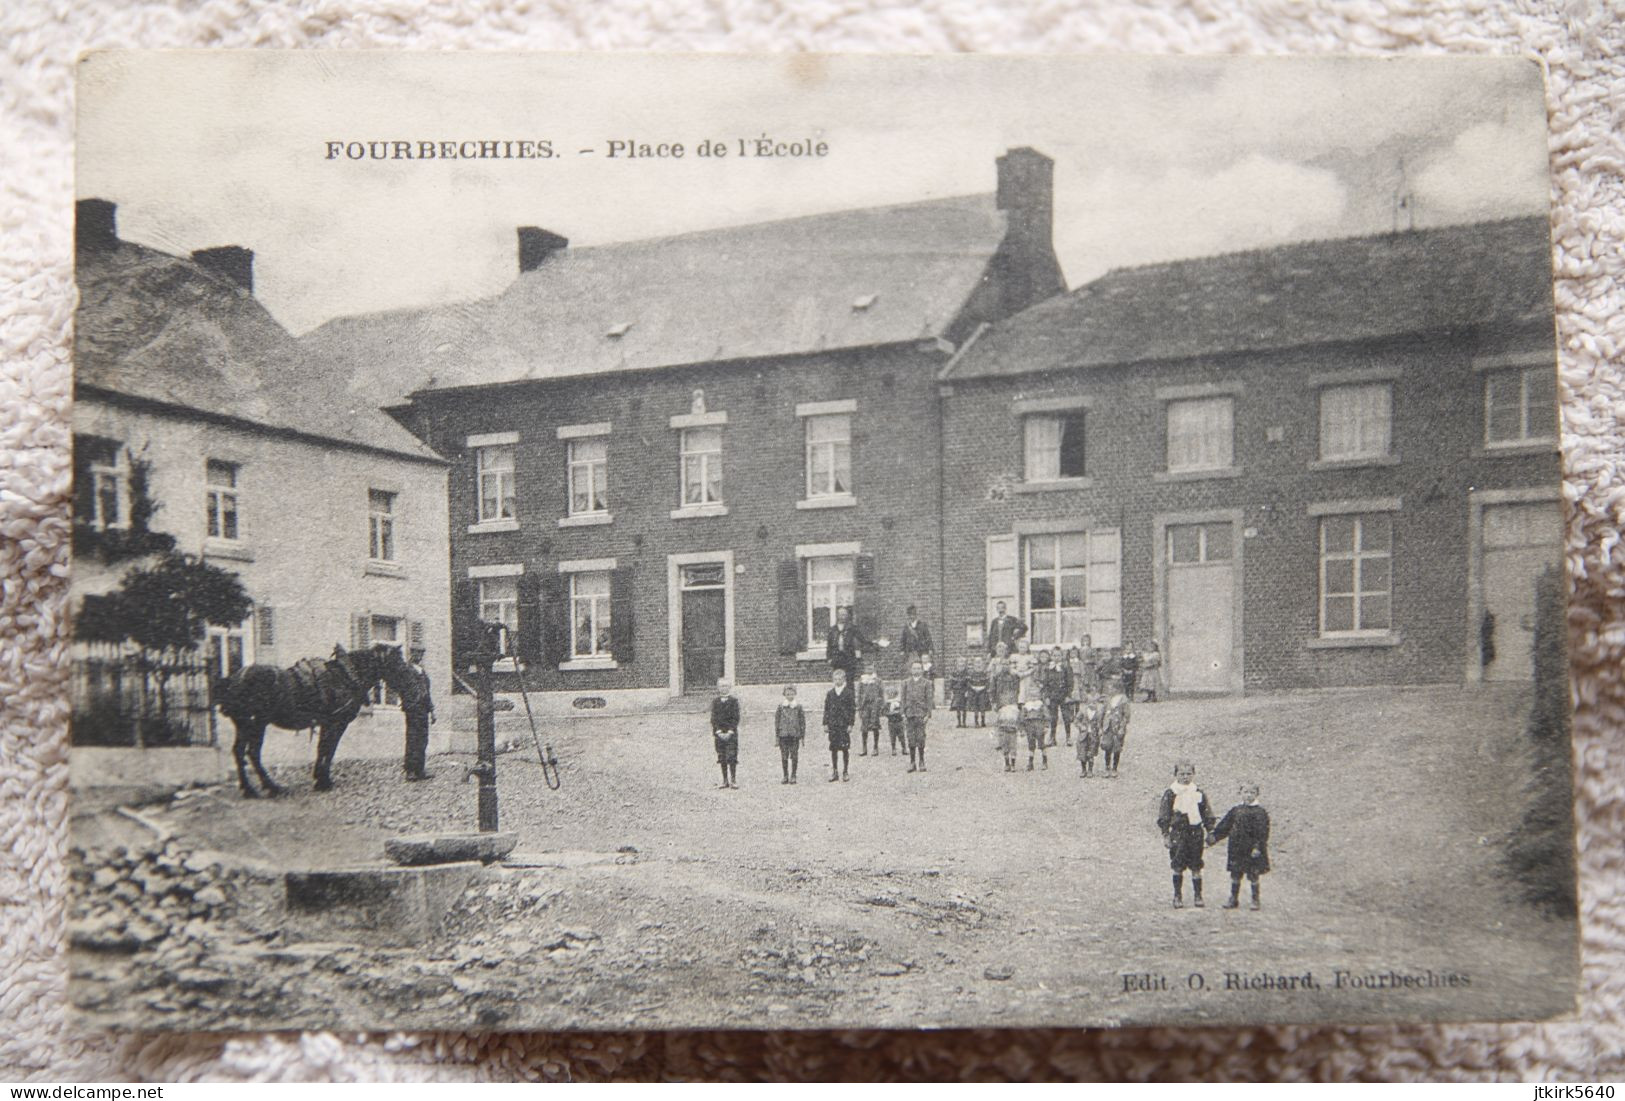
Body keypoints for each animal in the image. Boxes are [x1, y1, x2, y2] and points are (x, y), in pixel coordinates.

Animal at [216, 643, 412, 798]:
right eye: (397, 661)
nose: (408, 682)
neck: (344, 676)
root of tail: (234, 679)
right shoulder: (336, 723)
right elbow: (329, 750)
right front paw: (324, 781)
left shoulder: (326, 724)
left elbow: (322, 749)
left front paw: (319, 778)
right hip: (256, 723)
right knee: (253, 753)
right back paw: (270, 787)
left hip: (244, 724)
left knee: (239, 751)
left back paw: (249, 788)